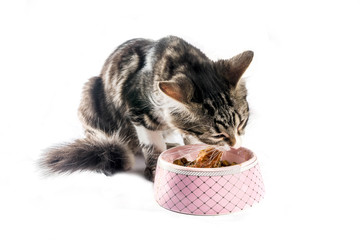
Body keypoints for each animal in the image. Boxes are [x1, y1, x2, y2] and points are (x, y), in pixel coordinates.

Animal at [40, 36, 252, 181]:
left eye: (242, 123)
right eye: (218, 135)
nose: (236, 145)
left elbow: (191, 139)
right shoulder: (138, 113)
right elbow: (152, 146)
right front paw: (155, 169)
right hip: (90, 93)